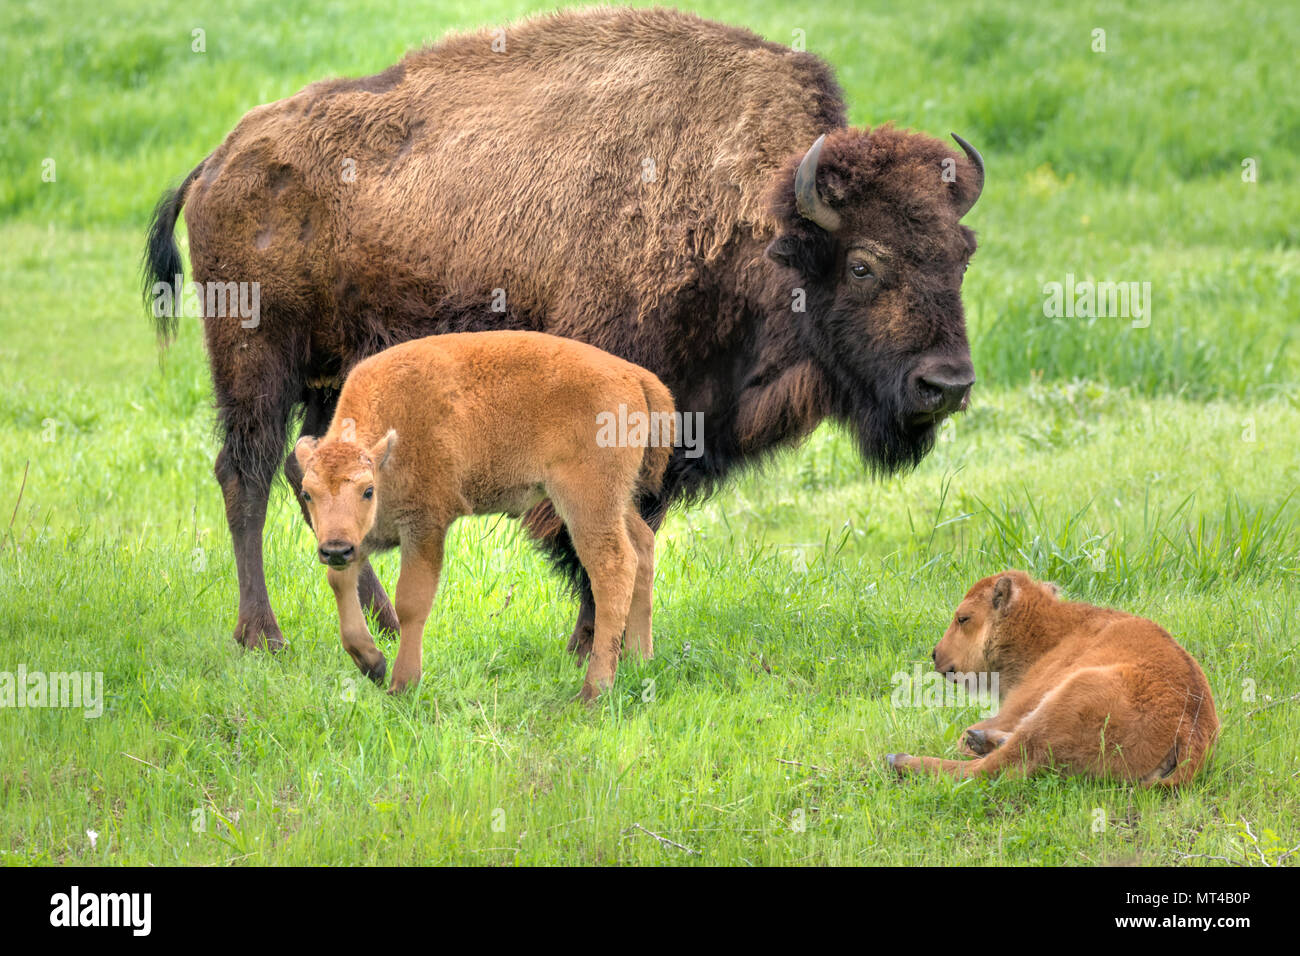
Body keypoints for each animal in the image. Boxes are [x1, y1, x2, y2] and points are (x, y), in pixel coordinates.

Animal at [142, 5, 977, 658]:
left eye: (962, 253)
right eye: (864, 264)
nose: (947, 384)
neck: (753, 214)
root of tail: (218, 159)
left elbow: (635, 524)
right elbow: (596, 533)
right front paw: (593, 643)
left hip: (336, 376)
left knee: (312, 468)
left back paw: (378, 619)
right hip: (256, 357)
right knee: (246, 471)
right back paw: (264, 636)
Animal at [291, 332, 676, 697]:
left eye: (367, 490)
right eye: (308, 493)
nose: (335, 549)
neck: (390, 446)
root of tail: (633, 375)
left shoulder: (424, 527)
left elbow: (412, 602)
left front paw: (402, 684)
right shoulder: (360, 539)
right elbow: (340, 582)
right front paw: (372, 663)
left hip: (587, 502)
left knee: (614, 568)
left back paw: (593, 690)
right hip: (616, 501)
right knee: (643, 547)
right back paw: (640, 660)